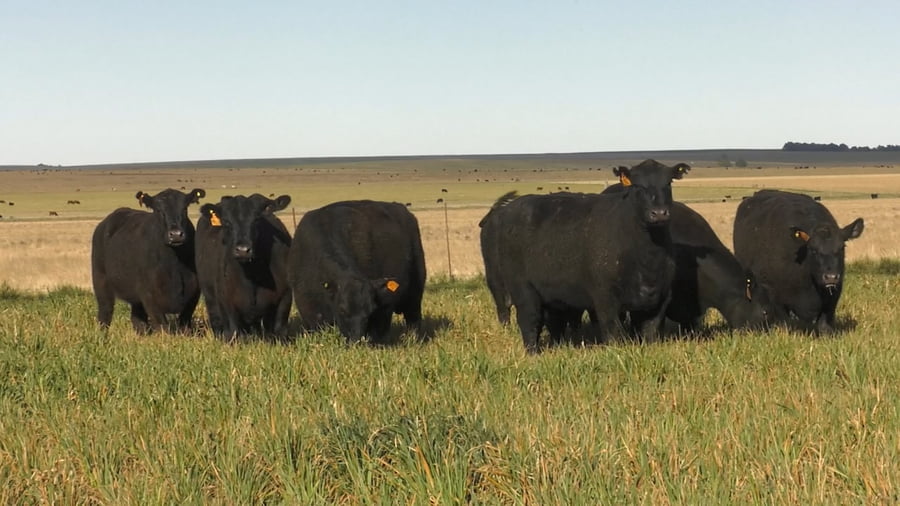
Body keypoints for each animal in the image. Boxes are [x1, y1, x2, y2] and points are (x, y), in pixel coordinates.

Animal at [91, 188, 206, 333]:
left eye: (185, 208)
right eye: (158, 210)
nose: (175, 234)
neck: (174, 266)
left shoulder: (193, 294)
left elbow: (184, 324)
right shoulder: (149, 295)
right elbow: (162, 327)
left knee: (138, 320)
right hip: (101, 282)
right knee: (105, 313)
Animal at [196, 194, 293, 339]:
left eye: (257, 219)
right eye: (227, 222)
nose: (242, 250)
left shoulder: (285, 297)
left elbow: (279, 330)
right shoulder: (226, 301)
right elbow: (233, 332)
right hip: (210, 296)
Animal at [289, 200, 426, 344]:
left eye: (369, 311)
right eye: (342, 310)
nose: (356, 340)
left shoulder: (382, 307)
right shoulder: (307, 306)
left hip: (415, 291)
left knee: (413, 319)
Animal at [485, 159, 688, 352]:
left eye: (668, 182)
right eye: (637, 185)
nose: (659, 213)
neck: (647, 259)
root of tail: (507, 210)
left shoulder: (659, 299)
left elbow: (650, 333)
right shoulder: (605, 298)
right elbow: (613, 332)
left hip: (552, 295)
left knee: (554, 322)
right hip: (522, 289)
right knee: (529, 321)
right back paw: (533, 353)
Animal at [733, 189, 864, 335]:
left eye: (842, 247)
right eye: (813, 249)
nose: (830, 277)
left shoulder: (833, 295)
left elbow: (824, 324)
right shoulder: (774, 293)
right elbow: (785, 322)